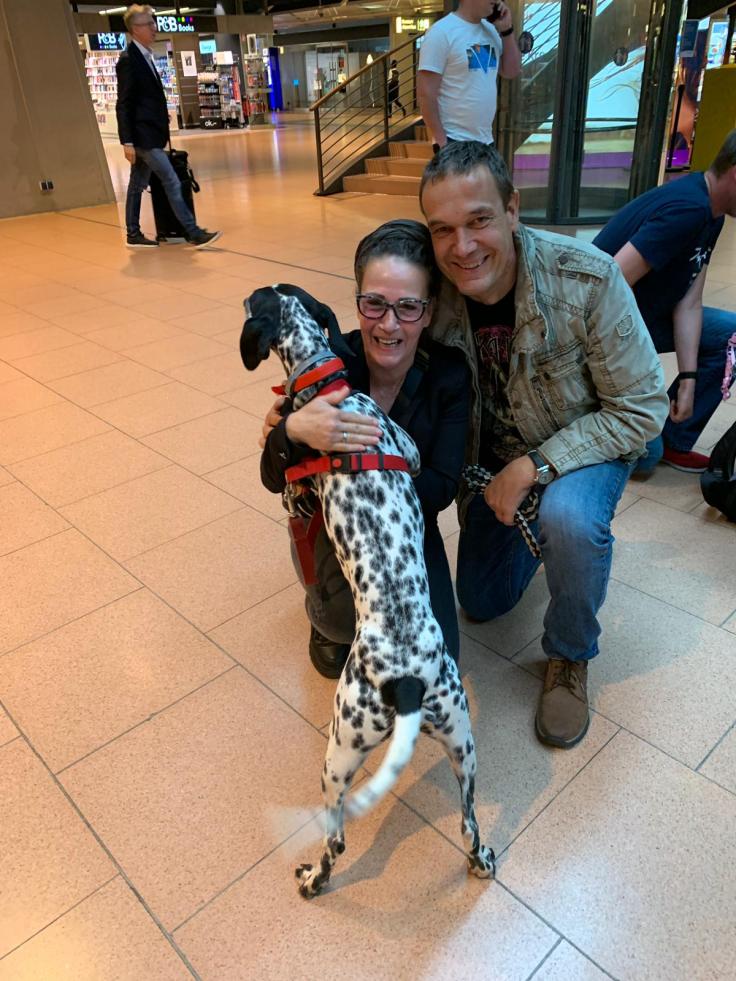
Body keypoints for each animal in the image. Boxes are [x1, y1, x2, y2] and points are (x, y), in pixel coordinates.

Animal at [241, 284, 495, 898]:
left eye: (254, 299)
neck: (324, 381)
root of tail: (405, 682)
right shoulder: (411, 448)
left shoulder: (301, 487)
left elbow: (290, 492)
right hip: (462, 740)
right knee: (469, 822)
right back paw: (481, 860)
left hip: (338, 752)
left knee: (334, 839)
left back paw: (313, 879)